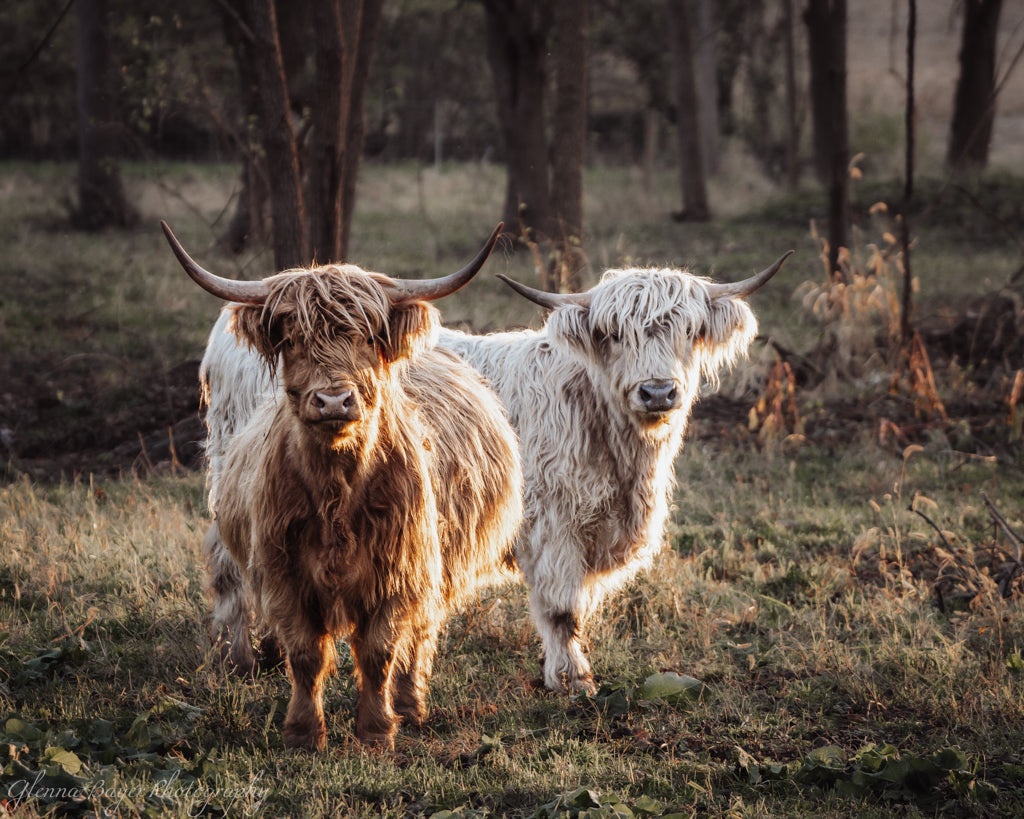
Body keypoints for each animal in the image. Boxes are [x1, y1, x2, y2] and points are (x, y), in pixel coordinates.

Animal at [161, 221, 523, 750]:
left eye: (368, 337)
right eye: (292, 338)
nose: (333, 400)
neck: (337, 495)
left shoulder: (399, 571)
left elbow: (379, 650)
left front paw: (375, 732)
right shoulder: (285, 572)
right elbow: (306, 654)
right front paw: (303, 733)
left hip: (436, 568)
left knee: (420, 634)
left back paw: (410, 706)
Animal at [437, 252, 792, 694]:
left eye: (689, 330)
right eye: (616, 334)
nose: (657, 392)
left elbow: (580, 606)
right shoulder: (553, 524)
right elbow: (563, 609)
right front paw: (573, 679)